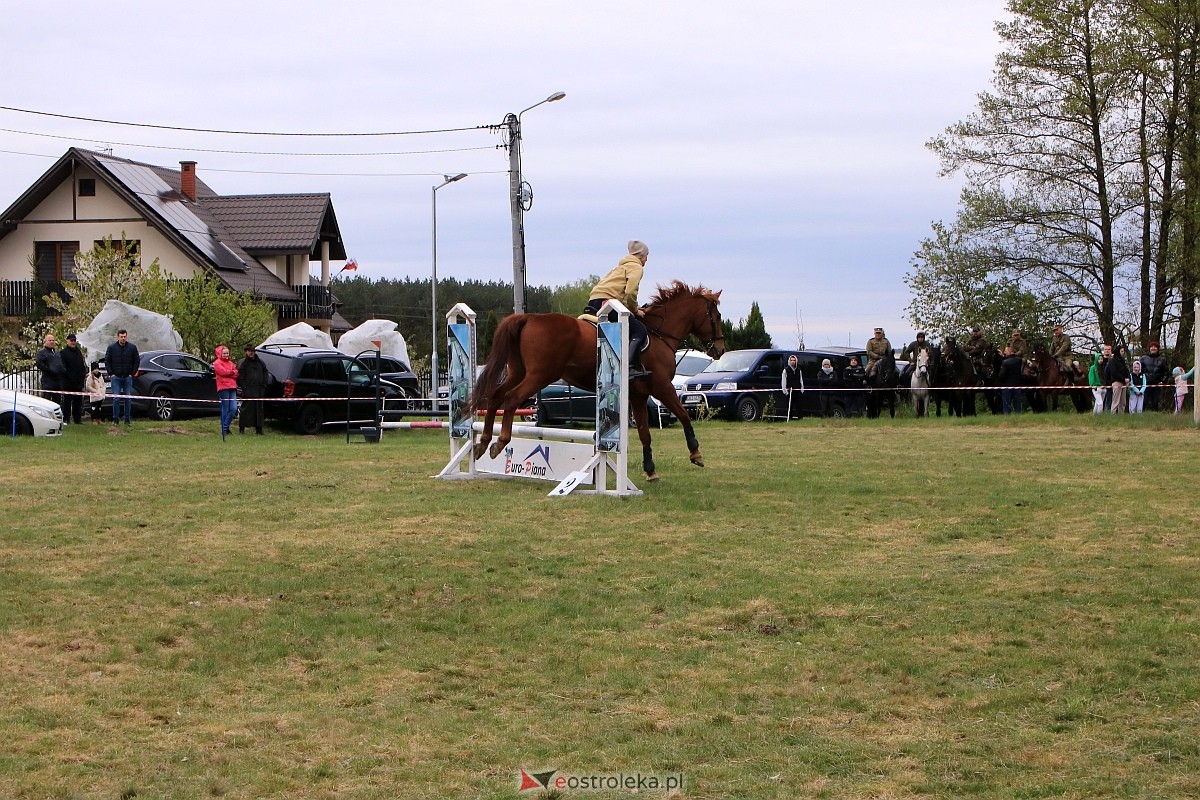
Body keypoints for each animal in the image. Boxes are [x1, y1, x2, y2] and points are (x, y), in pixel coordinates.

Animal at [468, 281, 720, 482]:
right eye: (716, 317)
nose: (719, 349)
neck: (660, 335)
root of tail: (527, 317)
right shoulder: (662, 387)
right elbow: (684, 415)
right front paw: (696, 454)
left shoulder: (638, 395)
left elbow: (644, 433)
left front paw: (650, 471)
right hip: (539, 375)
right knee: (511, 399)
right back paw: (500, 441)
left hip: (518, 372)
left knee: (495, 397)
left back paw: (483, 442)